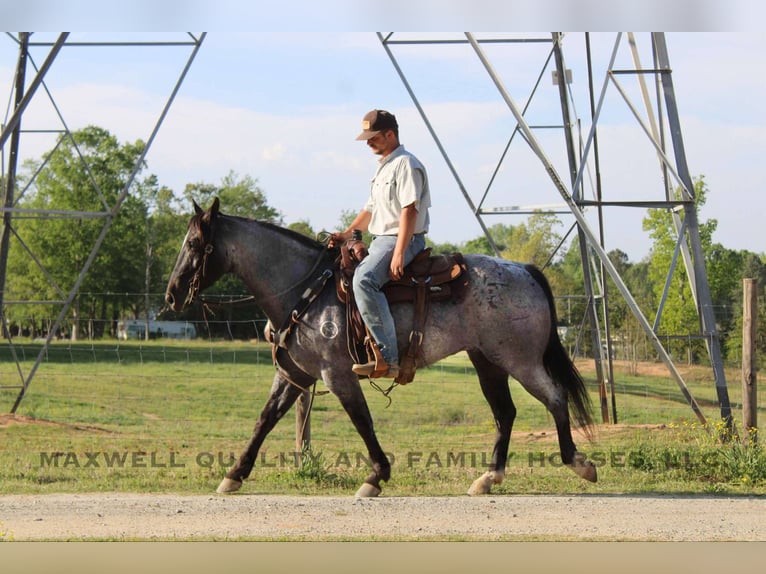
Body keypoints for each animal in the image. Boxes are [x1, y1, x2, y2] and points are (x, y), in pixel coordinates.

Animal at [164, 198, 597, 497]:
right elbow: (265, 419)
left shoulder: (336, 374)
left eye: (194, 243)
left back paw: (579, 463)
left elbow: (362, 421)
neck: (307, 290)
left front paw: (376, 477)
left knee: (555, 398)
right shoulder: (296, 373)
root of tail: (524, 269)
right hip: (487, 362)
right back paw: (488, 478)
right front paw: (233, 475)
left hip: (519, 361)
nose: (171, 295)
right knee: (505, 413)